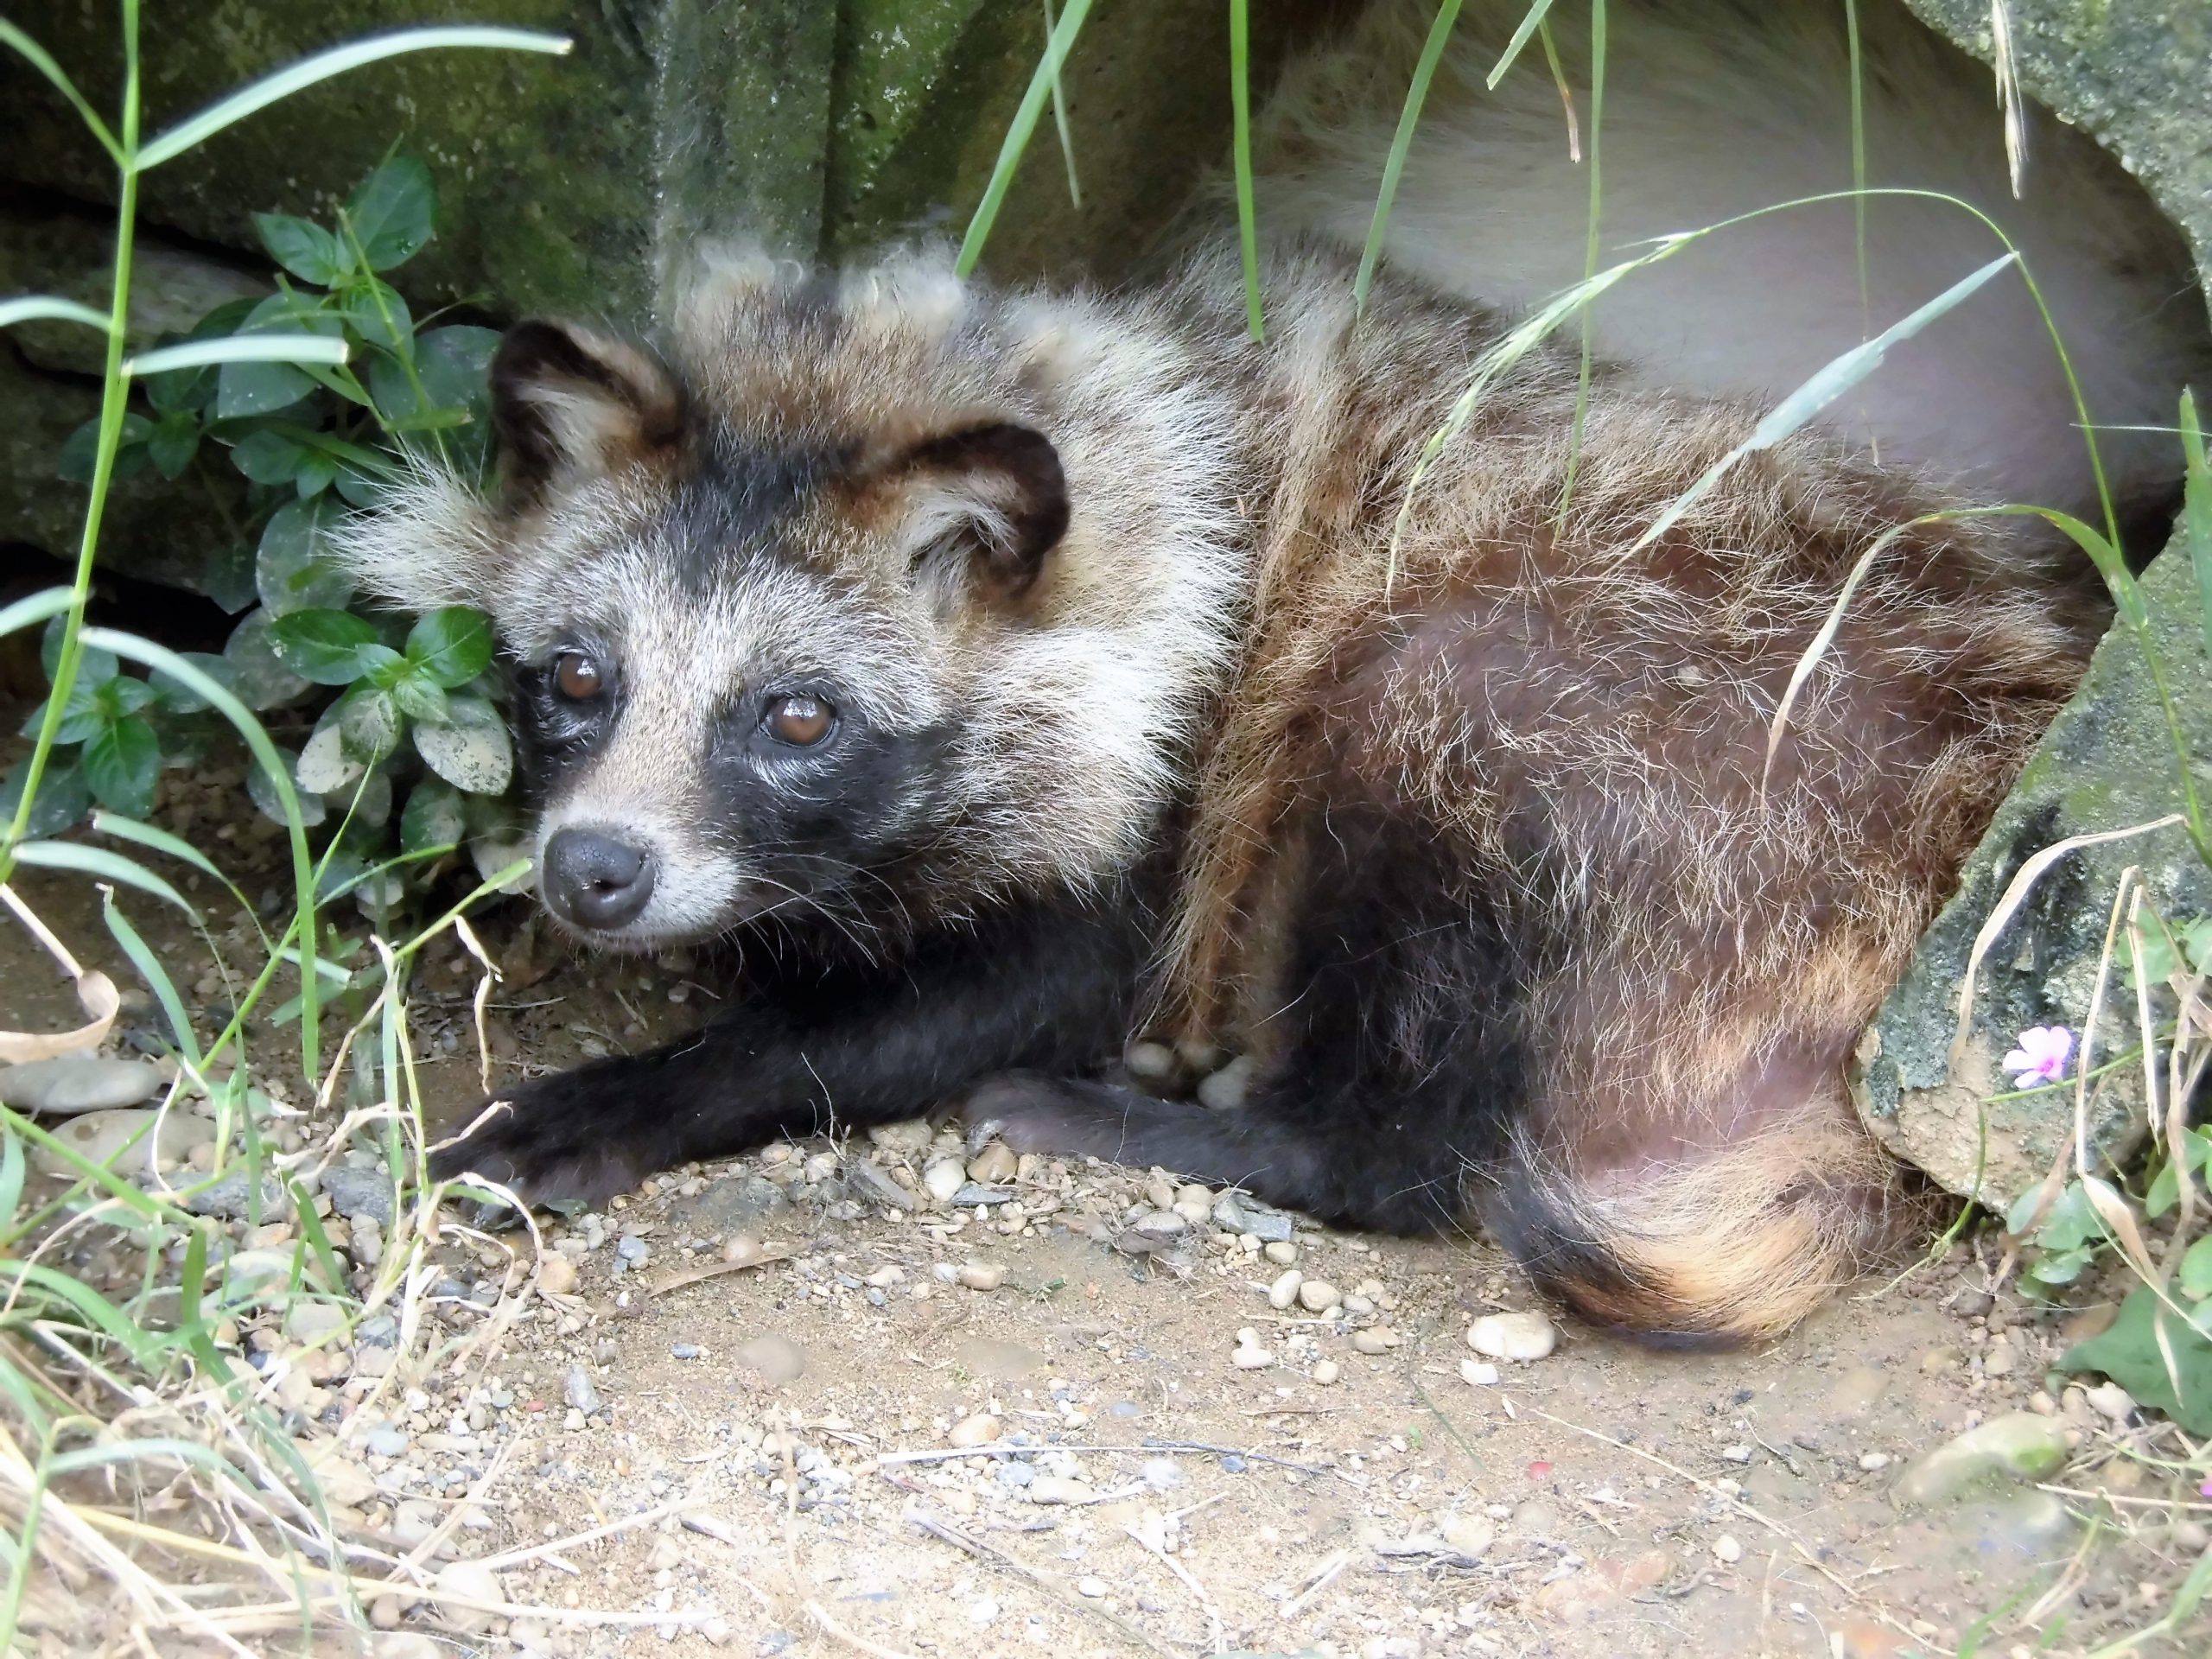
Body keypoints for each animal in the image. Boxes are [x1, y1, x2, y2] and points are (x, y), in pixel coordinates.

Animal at [345, 0, 2194, 1344]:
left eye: (793, 718)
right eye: (576, 679)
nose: (592, 871)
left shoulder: (1167, 797)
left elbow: (991, 994)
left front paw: (644, 1090)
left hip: (1654, 734)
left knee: (1422, 968)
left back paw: (1248, 1130)